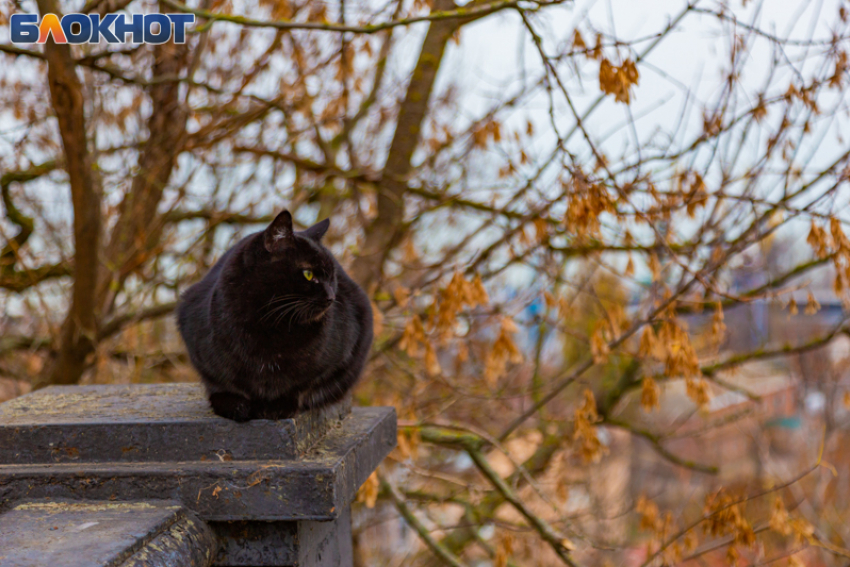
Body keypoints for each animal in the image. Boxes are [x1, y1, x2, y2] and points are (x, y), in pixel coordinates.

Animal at [177, 212, 372, 422]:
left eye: (332, 276)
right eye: (308, 273)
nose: (331, 297)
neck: (271, 324)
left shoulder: (342, 354)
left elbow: (303, 384)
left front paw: (279, 406)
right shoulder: (202, 353)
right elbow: (223, 383)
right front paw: (235, 405)